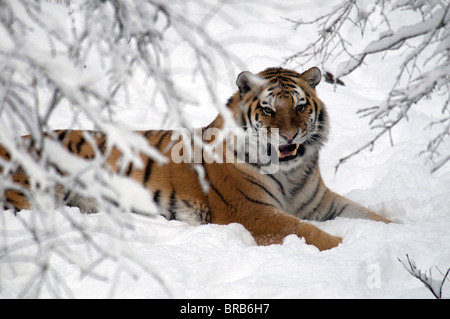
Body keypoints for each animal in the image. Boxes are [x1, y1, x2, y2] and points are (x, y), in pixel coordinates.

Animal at [0, 67, 388, 252]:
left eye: (300, 106)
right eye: (267, 109)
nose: (290, 136)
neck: (291, 171)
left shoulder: (321, 203)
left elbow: (372, 216)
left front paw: (399, 233)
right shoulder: (253, 212)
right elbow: (307, 232)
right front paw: (346, 248)